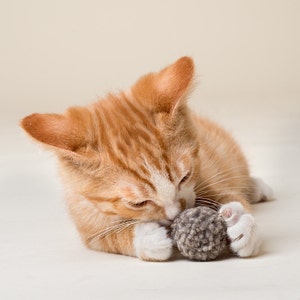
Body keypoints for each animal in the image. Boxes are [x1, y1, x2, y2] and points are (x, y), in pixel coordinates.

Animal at [19, 57, 270, 262]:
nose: (175, 216)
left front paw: (241, 222)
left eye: (185, 177)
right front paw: (147, 239)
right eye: (138, 203)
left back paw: (257, 187)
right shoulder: (86, 224)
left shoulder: (206, 177)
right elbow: (107, 238)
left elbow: (227, 193)